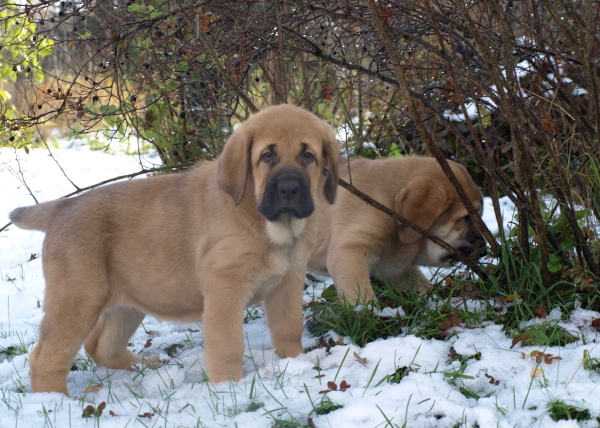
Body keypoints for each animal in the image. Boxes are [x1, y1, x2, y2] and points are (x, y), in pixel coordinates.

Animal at [9, 105, 340, 396]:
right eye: (267, 155)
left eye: (308, 155)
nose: (289, 190)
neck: (270, 225)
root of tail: (61, 207)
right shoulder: (225, 289)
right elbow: (228, 344)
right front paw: (229, 387)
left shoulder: (288, 282)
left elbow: (288, 329)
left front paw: (295, 364)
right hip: (77, 301)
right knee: (45, 357)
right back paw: (54, 401)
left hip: (128, 303)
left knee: (100, 345)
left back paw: (141, 365)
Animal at [308, 155, 486, 302]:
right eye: (467, 217)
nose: (485, 249)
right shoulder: (349, 252)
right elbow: (361, 295)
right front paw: (370, 317)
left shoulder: (395, 269)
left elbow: (422, 286)